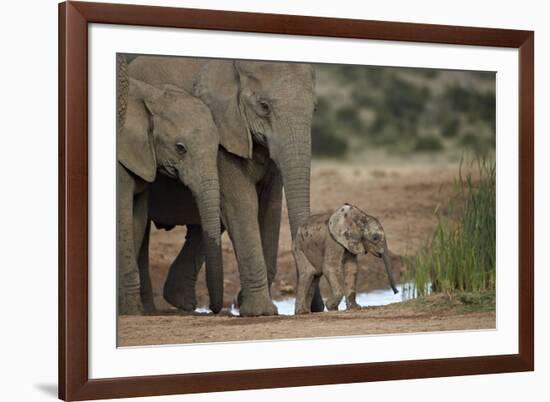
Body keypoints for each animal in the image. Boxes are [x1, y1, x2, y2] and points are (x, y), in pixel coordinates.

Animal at [117, 74, 223, 316]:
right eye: (180, 148)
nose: (214, 310)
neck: (152, 96)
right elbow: (123, 218)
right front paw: (132, 312)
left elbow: (137, 219)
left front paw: (128, 309)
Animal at [130, 55, 324, 316]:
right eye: (264, 106)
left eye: (314, 108)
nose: (315, 308)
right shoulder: (224, 131)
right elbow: (242, 203)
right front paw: (260, 312)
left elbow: (270, 206)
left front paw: (248, 305)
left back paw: (180, 303)